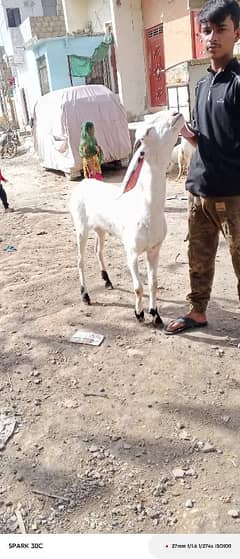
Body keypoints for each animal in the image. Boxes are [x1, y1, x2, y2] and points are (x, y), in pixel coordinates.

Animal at [69, 111, 184, 326]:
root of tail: (84, 182)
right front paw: (139, 314)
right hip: (81, 226)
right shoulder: (131, 251)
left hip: (101, 229)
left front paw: (156, 314)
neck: (147, 209)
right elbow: (138, 287)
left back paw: (107, 280)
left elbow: (153, 283)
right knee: (80, 260)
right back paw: (85, 295)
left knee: (98, 250)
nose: (176, 113)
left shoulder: (154, 249)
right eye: (147, 131)